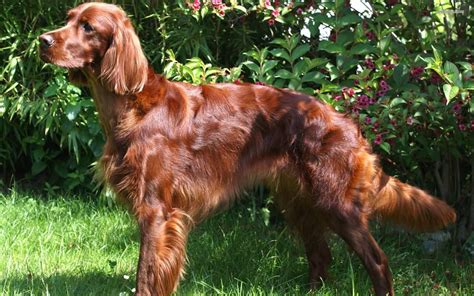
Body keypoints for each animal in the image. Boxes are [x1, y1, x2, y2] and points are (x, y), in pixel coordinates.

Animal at [39, 2, 456, 296]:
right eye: (68, 18)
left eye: (88, 26)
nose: (42, 40)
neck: (132, 105)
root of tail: (346, 122)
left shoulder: (157, 210)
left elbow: (147, 274)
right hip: (299, 202)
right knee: (321, 254)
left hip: (336, 203)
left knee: (378, 260)